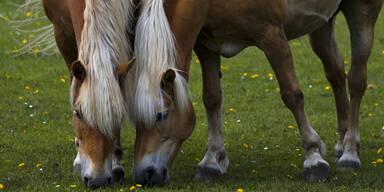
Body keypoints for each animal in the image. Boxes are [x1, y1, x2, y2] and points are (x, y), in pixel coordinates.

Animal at [124, 0, 382, 187]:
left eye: (161, 115)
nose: (144, 175)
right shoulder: (206, 45)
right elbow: (212, 98)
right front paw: (211, 162)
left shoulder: (272, 36)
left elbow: (292, 95)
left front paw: (314, 160)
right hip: (322, 25)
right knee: (336, 75)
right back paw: (341, 144)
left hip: (362, 12)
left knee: (356, 81)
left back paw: (350, 153)